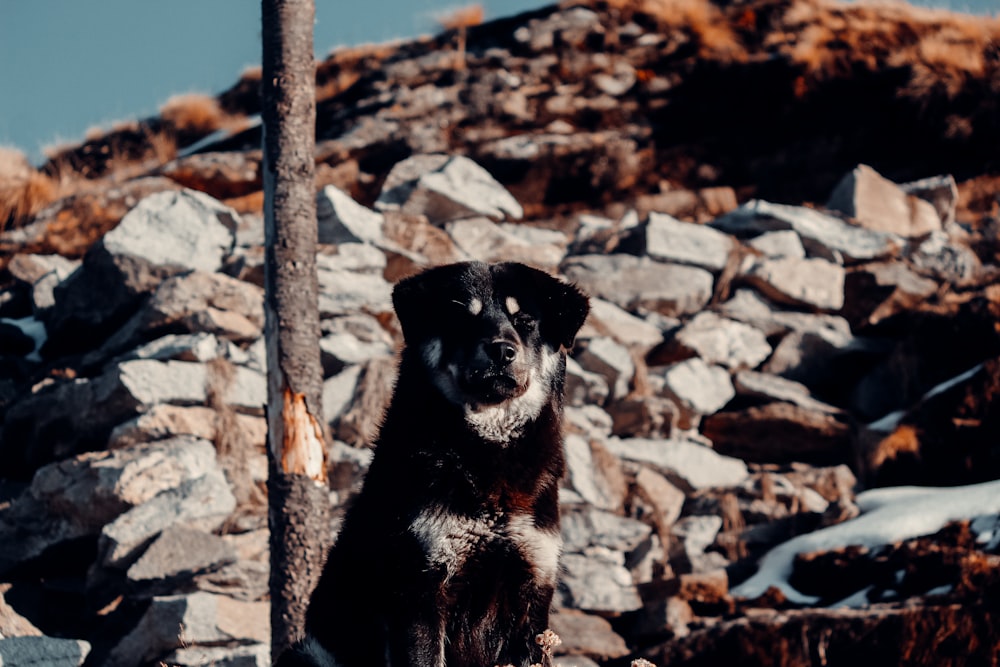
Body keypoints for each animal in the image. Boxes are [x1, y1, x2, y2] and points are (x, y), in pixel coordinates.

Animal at [278, 260, 588, 667]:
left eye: (525, 321)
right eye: (461, 317)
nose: (502, 351)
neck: (489, 455)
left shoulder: (533, 590)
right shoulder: (421, 588)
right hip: (309, 654)